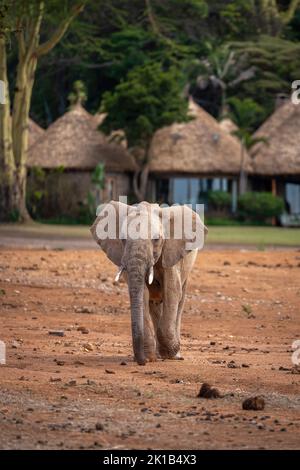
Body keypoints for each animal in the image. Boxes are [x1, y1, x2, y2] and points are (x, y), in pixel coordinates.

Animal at [90, 200, 207, 366]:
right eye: (123, 240)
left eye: (156, 239)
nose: (141, 362)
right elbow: (143, 294)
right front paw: (150, 357)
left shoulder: (171, 252)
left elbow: (171, 291)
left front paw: (170, 353)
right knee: (154, 304)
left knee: (180, 300)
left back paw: (175, 354)